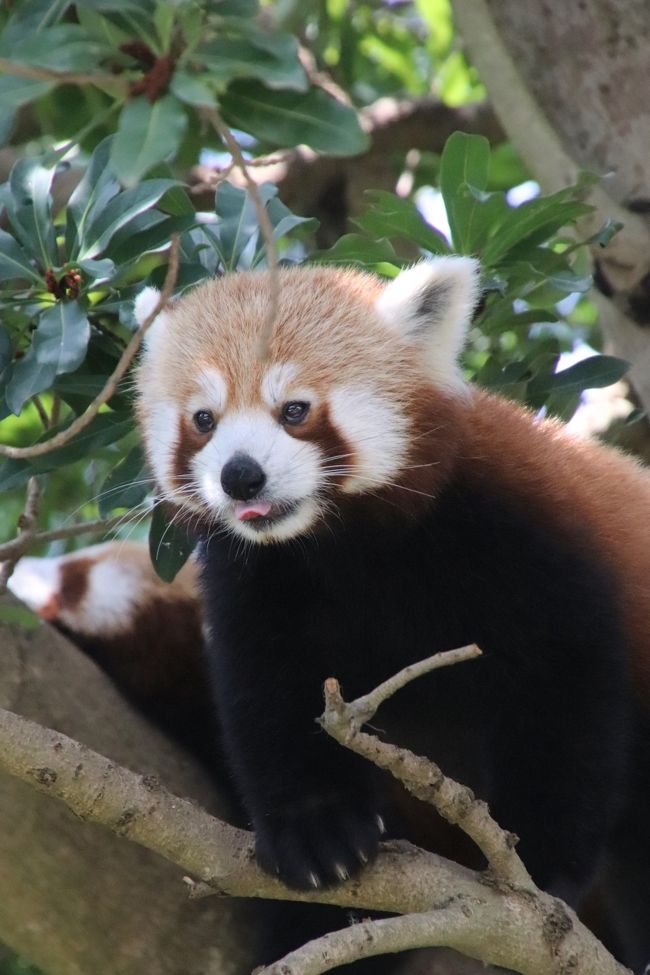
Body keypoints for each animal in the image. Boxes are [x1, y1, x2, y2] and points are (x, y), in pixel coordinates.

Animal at [133, 264, 648, 972]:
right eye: (203, 420)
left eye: (295, 410)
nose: (240, 476)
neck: (345, 545)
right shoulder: (260, 584)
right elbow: (270, 694)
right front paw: (315, 829)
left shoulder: (524, 533)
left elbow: (565, 688)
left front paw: (540, 865)